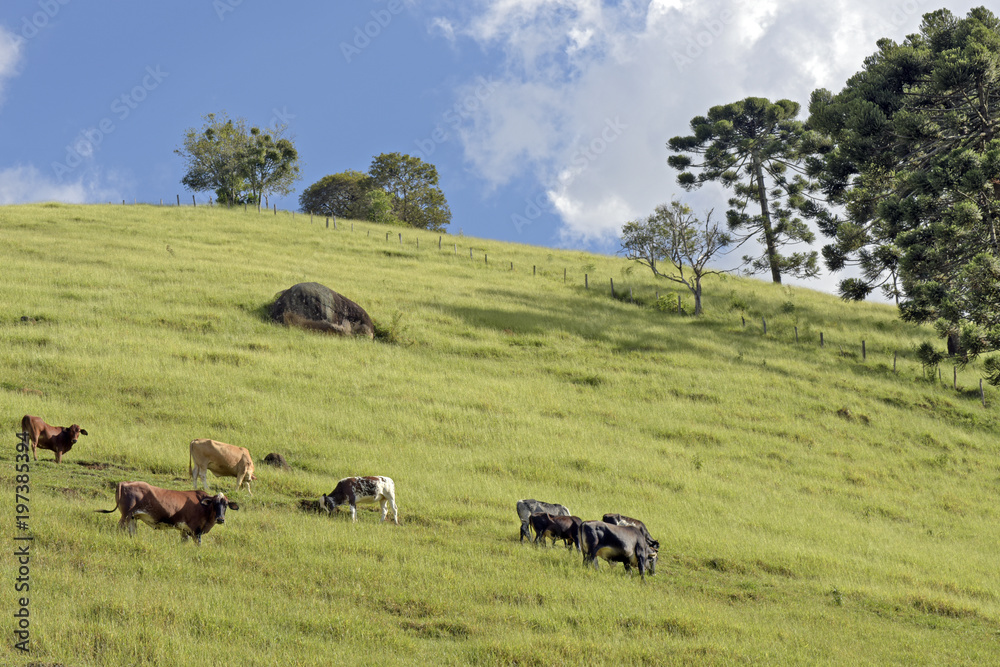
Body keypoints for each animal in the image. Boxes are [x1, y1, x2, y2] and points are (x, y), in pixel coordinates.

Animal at [95, 482, 240, 544]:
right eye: (215, 503)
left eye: (226, 505)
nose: (221, 519)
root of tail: (124, 482)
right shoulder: (196, 531)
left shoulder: (185, 531)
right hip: (125, 516)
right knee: (119, 528)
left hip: (132, 518)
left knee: (132, 532)